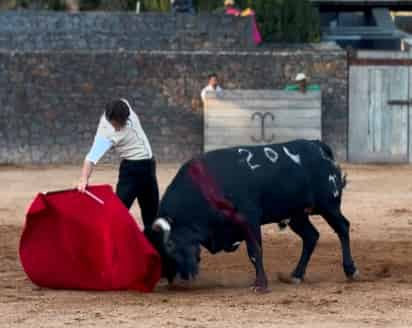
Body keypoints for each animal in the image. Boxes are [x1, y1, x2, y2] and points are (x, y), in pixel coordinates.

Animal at [145, 139, 358, 292]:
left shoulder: (249, 219)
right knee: (311, 236)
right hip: (297, 215)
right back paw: (296, 275)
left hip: (328, 206)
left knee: (342, 228)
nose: (172, 280)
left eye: (170, 245)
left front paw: (260, 285)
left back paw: (351, 270)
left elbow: (255, 251)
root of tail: (318, 146)